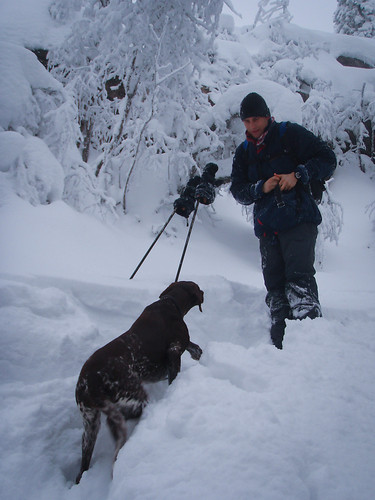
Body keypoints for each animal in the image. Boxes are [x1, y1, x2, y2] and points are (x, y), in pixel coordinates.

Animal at [75, 280, 204, 482]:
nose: (204, 293)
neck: (171, 302)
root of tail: (90, 385)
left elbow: (195, 347)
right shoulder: (174, 351)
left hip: (90, 425)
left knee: (83, 466)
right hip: (134, 398)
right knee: (120, 421)